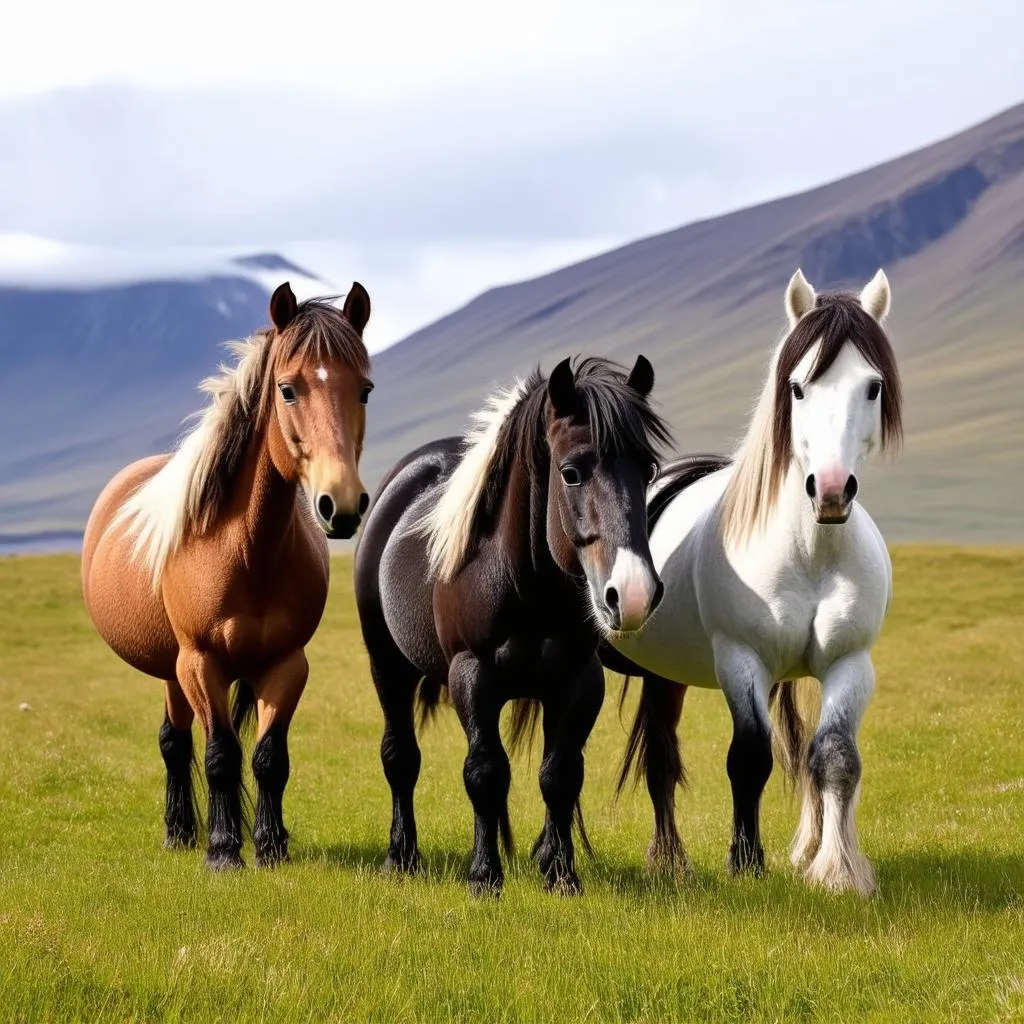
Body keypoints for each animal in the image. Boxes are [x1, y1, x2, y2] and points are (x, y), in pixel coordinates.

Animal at [81, 282, 372, 872]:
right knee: (175, 741)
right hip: (176, 667)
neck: (244, 551)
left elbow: (268, 758)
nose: (343, 505)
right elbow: (220, 754)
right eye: (287, 389)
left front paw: (270, 844)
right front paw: (222, 849)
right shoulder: (201, 662)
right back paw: (180, 833)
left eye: (366, 391)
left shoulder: (287, 664)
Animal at [354, 354, 671, 897]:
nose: (632, 594)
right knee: (400, 757)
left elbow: (559, 775)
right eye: (571, 472)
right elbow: (484, 772)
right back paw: (402, 856)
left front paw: (561, 875)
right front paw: (485, 876)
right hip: (387, 666)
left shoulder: (578, 682)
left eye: (647, 468)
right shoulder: (472, 675)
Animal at [606, 270, 905, 897]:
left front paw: (837, 869)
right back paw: (671, 861)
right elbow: (748, 758)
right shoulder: (741, 660)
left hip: (669, 676)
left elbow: (835, 756)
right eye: (796, 387)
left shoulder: (850, 664)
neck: (811, 550)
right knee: (661, 760)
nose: (831, 489)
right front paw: (745, 862)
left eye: (872, 387)